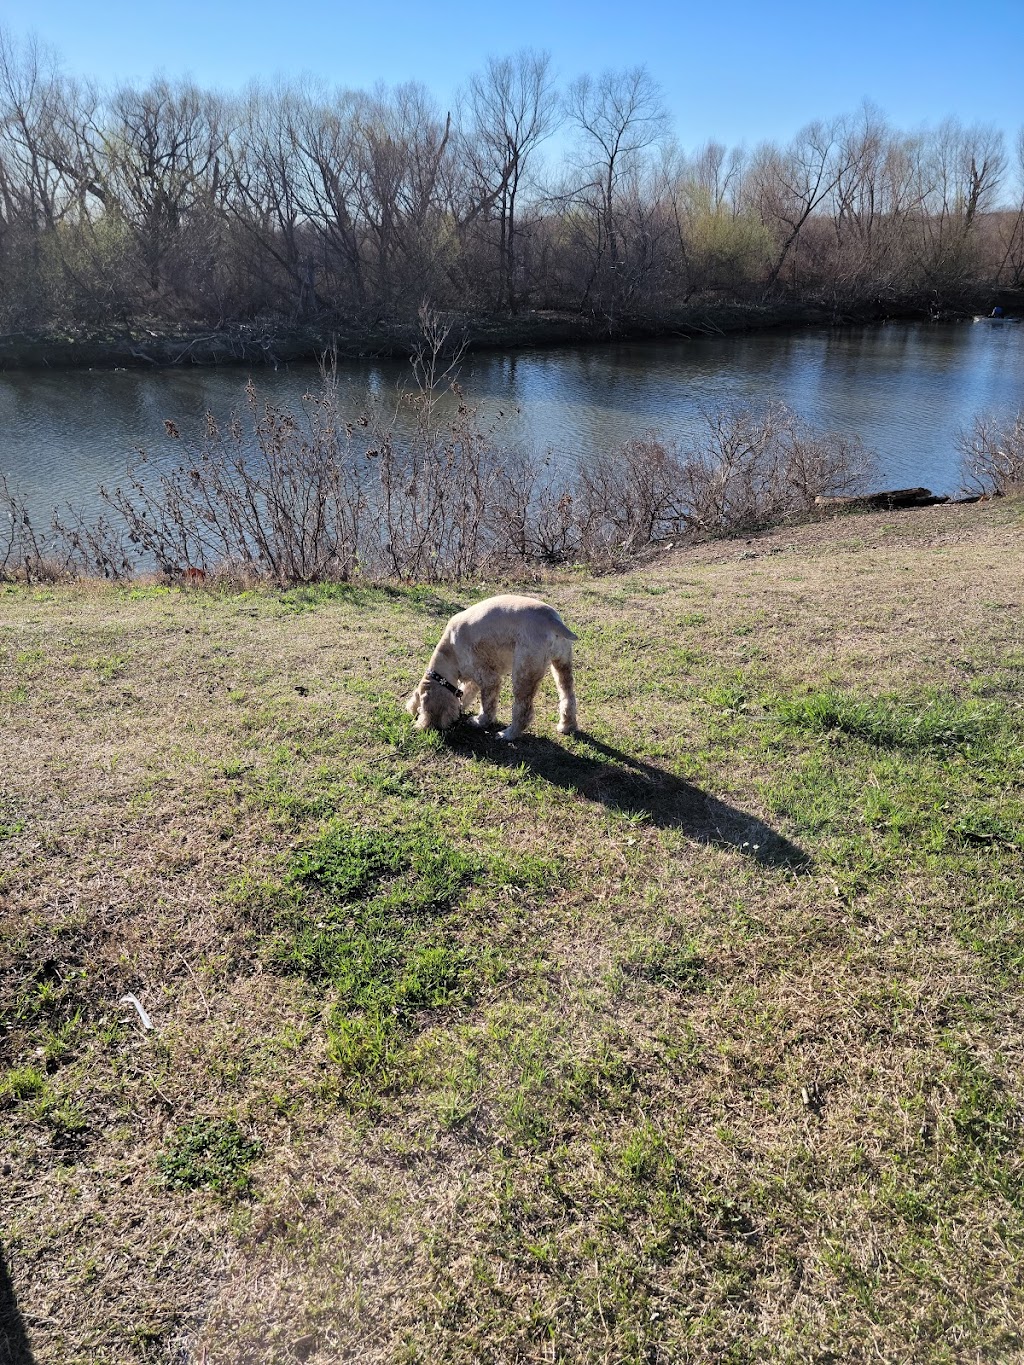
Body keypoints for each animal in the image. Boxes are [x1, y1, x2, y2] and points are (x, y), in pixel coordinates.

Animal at [409, 595, 584, 742]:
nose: (423, 726)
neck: (449, 652)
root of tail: (553, 621)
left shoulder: (489, 679)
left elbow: (488, 705)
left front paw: (480, 721)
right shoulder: (474, 679)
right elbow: (466, 694)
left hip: (523, 673)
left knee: (523, 711)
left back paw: (508, 734)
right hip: (562, 664)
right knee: (568, 697)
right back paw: (566, 726)